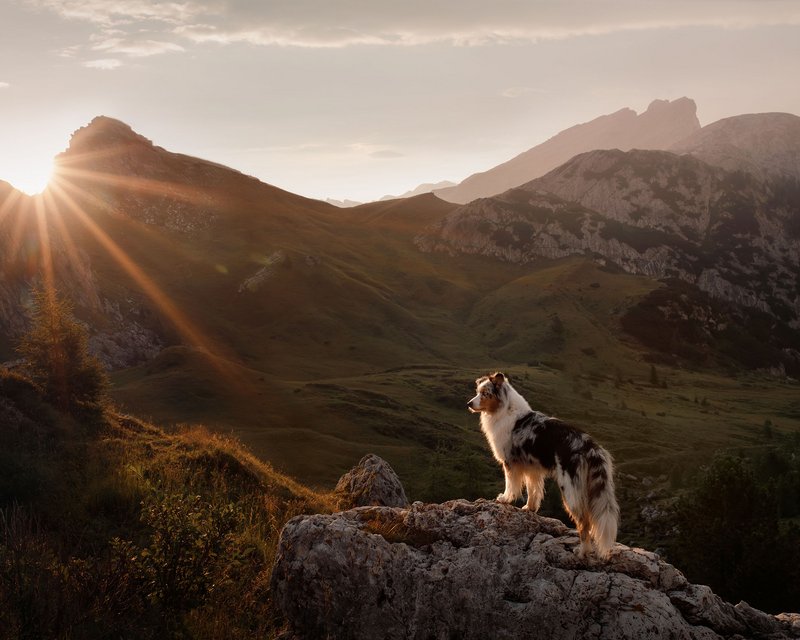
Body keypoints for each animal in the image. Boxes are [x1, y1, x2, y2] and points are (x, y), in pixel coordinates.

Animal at [468, 372, 620, 556]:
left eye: (485, 394)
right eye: (477, 391)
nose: (469, 404)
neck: (505, 410)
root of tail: (590, 446)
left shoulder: (510, 463)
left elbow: (511, 486)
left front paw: (504, 499)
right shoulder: (532, 469)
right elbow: (533, 491)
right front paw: (529, 508)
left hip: (570, 488)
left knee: (584, 520)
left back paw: (582, 551)